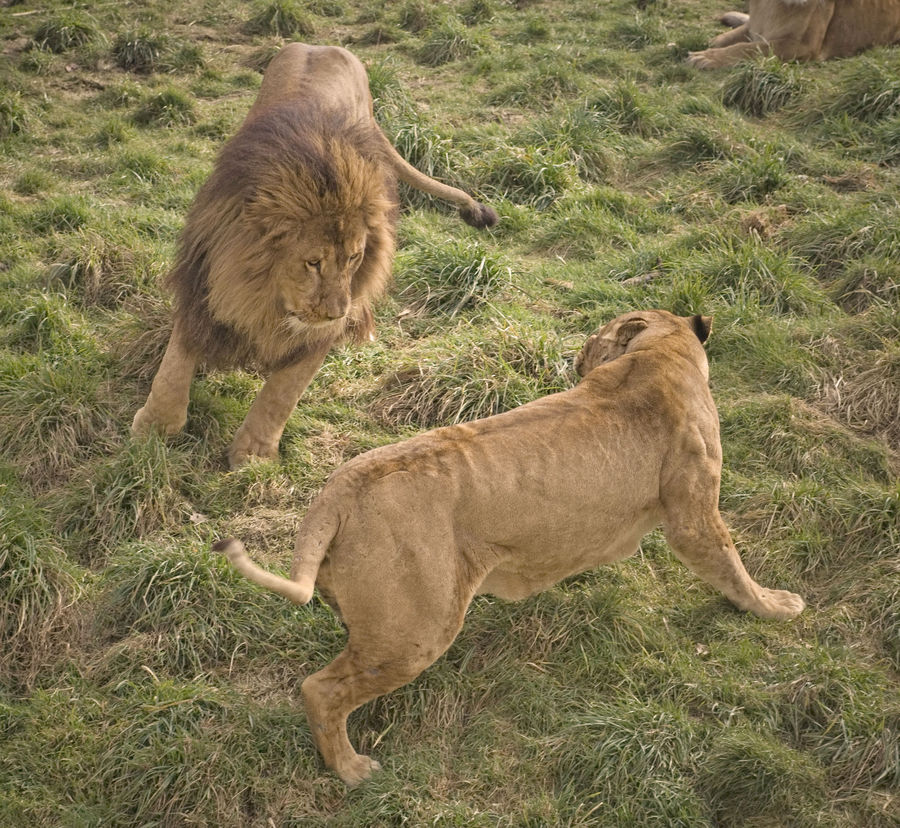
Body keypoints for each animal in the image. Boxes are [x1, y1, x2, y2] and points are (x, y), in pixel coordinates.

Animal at [130, 42, 496, 468]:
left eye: (354, 258)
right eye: (312, 262)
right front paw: (154, 428)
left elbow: (282, 393)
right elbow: (174, 365)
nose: (337, 313)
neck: (263, 296)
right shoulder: (200, 284)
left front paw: (253, 456)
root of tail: (322, 45)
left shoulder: (317, 333)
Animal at [214, 308, 804, 784]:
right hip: (417, 629)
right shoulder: (692, 515)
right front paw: (776, 606)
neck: (660, 352)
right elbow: (731, 565)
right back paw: (353, 770)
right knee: (321, 689)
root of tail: (341, 486)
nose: (574, 357)